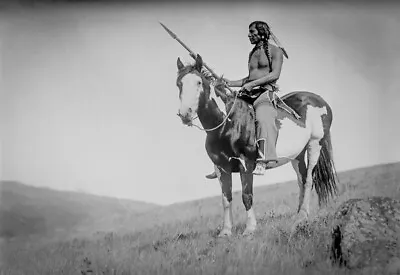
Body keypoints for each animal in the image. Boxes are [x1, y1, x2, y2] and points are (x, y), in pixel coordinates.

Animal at [175, 55, 338, 238]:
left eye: (198, 82)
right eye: (179, 83)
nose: (185, 113)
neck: (227, 124)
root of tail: (320, 101)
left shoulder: (246, 164)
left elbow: (247, 196)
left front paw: (250, 229)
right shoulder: (222, 168)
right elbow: (226, 199)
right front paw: (225, 232)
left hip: (315, 145)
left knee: (309, 179)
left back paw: (301, 217)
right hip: (297, 155)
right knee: (301, 181)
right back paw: (299, 217)